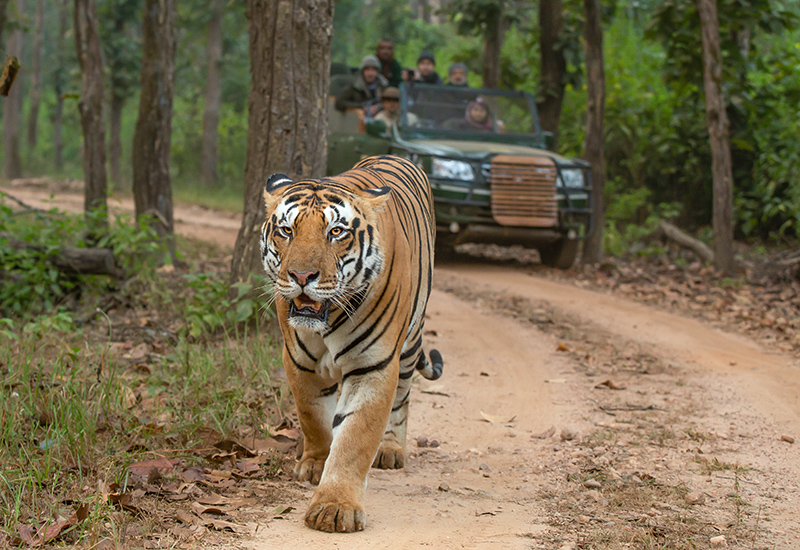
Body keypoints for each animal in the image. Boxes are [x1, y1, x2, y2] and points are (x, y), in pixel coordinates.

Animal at [260, 155, 440, 536]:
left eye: (336, 232)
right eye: (287, 231)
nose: (301, 277)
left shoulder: (372, 366)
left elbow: (356, 437)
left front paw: (334, 507)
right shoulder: (299, 361)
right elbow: (313, 417)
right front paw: (315, 464)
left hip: (409, 345)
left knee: (403, 397)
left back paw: (391, 449)